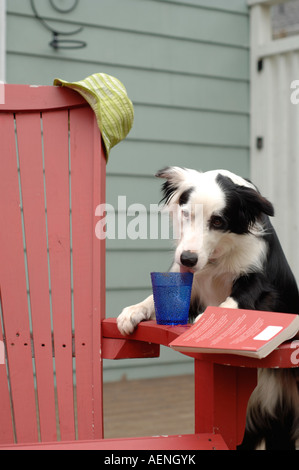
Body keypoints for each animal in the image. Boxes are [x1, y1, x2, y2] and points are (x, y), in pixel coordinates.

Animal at [116, 167, 299, 450]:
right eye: (186, 214)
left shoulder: (264, 286)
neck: (216, 258)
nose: (188, 259)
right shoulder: (189, 288)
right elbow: (156, 300)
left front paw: (210, 320)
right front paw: (133, 311)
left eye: (218, 221)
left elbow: (237, 299)